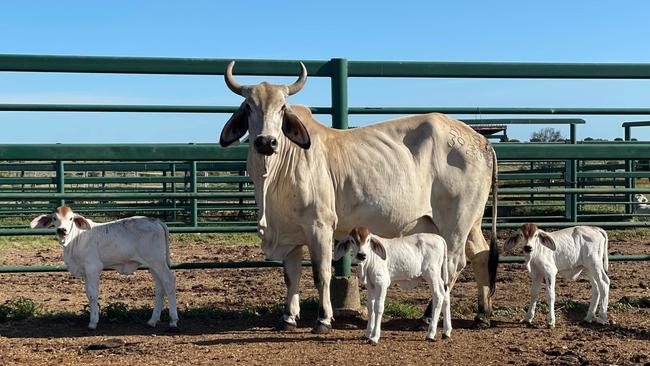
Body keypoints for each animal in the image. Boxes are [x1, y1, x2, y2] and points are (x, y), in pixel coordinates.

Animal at [29, 207, 177, 330]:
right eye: (55, 218)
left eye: (71, 218)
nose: (62, 230)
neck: (75, 239)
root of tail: (156, 221)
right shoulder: (85, 272)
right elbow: (88, 294)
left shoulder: (93, 268)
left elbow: (93, 294)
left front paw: (93, 322)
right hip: (153, 265)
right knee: (160, 287)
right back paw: (152, 321)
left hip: (157, 262)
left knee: (169, 281)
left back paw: (173, 321)